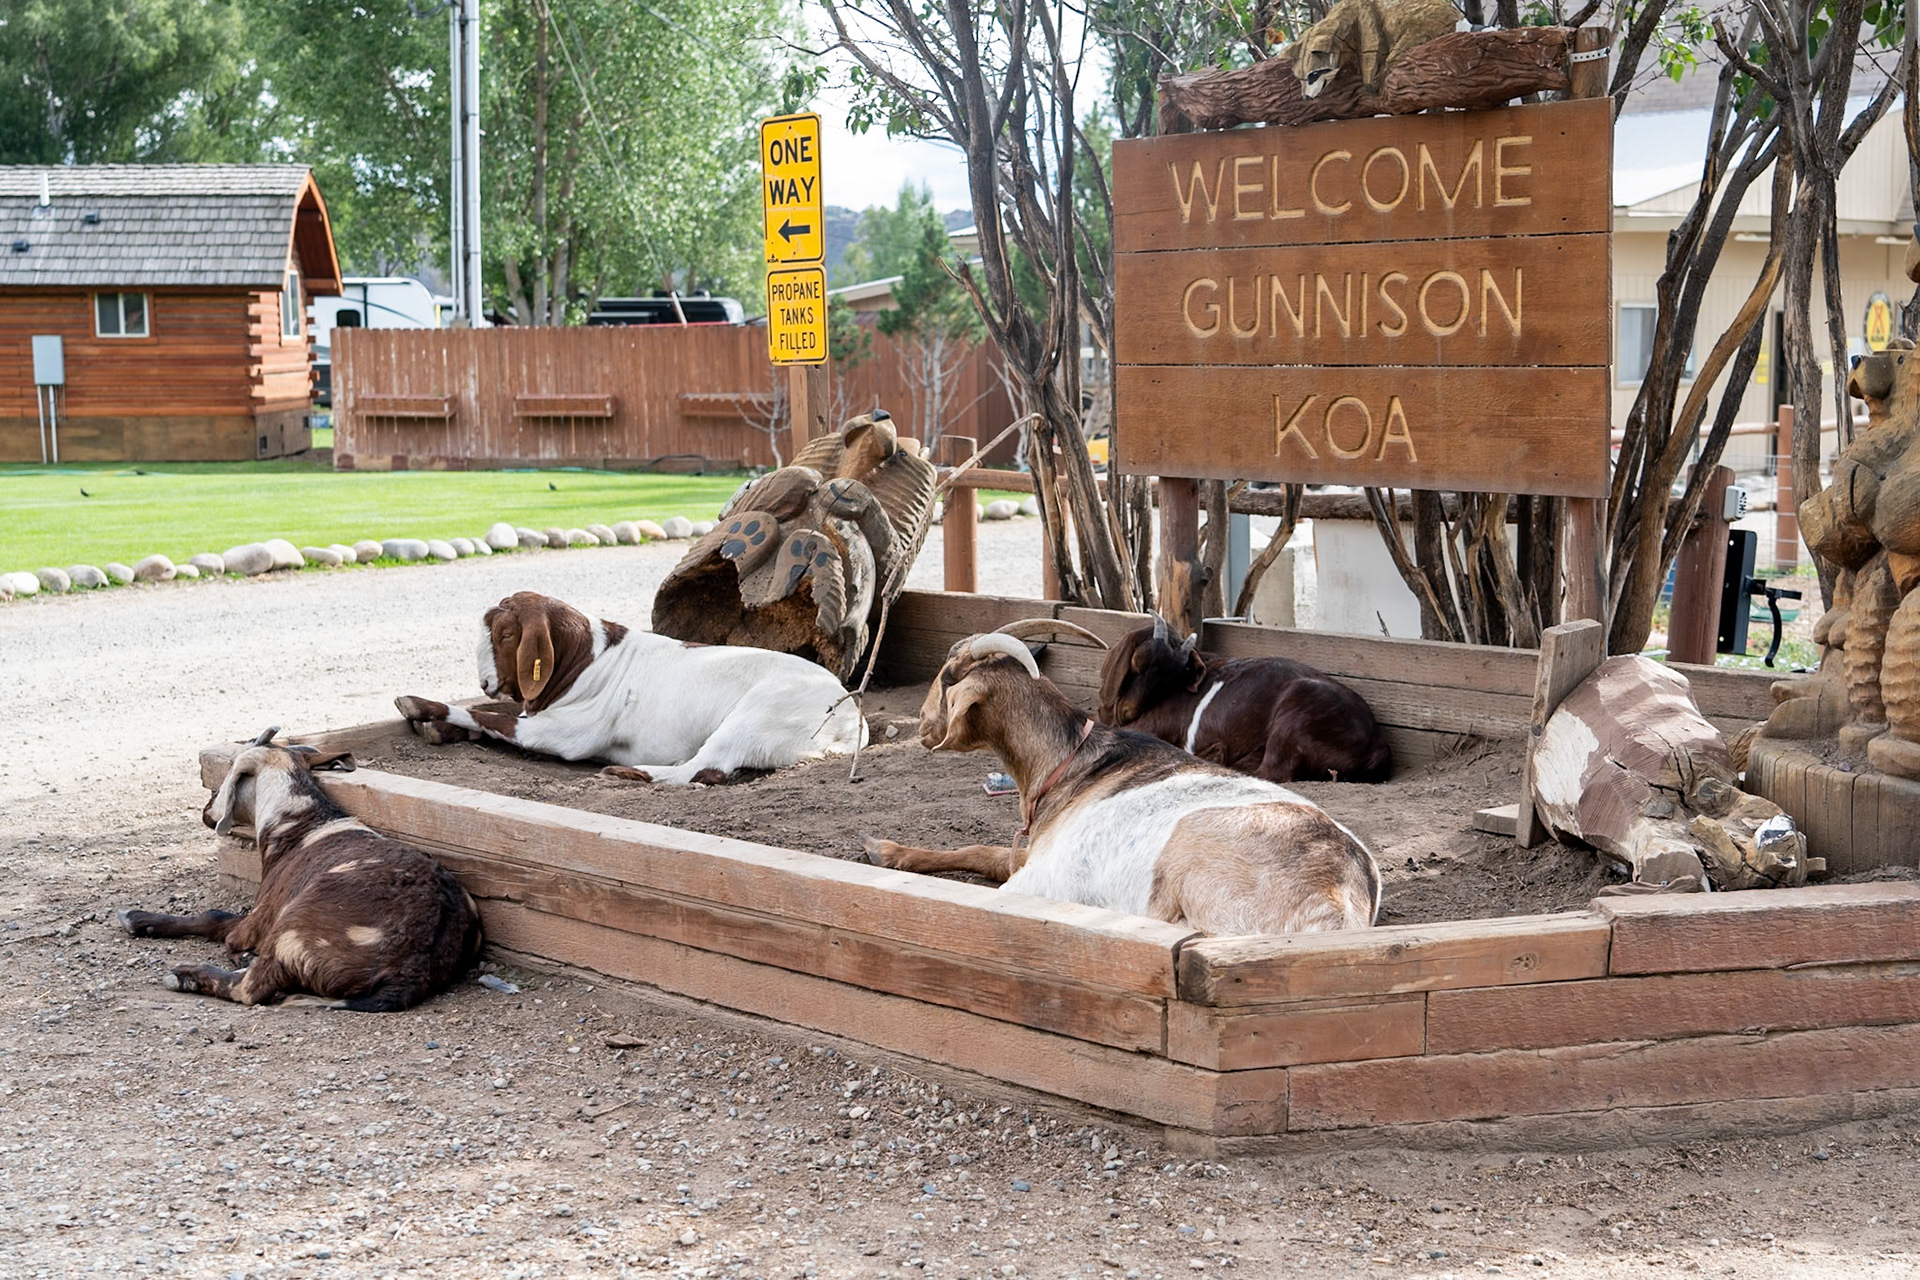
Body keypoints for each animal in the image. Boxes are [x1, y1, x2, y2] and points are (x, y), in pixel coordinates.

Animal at [118, 728, 483, 1010]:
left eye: (231, 772)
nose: (207, 810)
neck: (300, 823)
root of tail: (408, 970)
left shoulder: (261, 918)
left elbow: (221, 925)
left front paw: (136, 918)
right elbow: (217, 919)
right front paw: (141, 920)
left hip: (292, 931)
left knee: (250, 988)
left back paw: (186, 976)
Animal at [394, 590, 866, 784]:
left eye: (506, 634)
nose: (485, 681)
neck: (587, 661)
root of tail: (849, 719)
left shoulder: (557, 733)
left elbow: (485, 715)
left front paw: (417, 704)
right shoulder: (535, 709)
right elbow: (495, 715)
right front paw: (436, 727)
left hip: (758, 714)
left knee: (704, 769)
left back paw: (626, 773)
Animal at [1098, 618, 1391, 784]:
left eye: (1174, 674)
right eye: (1138, 661)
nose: (1128, 710)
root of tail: (1377, 746)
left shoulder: (1154, 724)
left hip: (1295, 714)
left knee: (1271, 771)